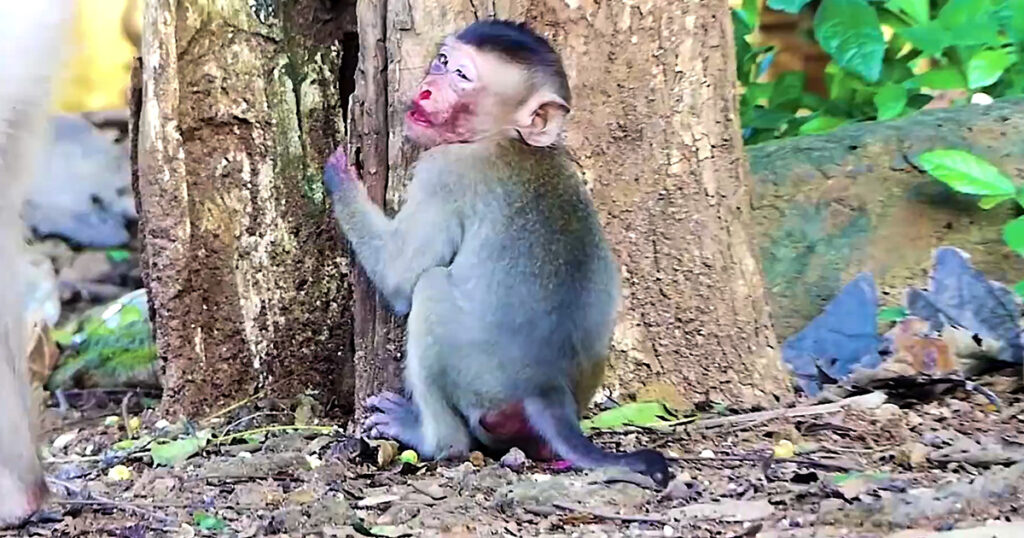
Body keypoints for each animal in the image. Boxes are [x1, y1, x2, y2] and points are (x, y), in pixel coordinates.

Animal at [323, 19, 670, 487]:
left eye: (462, 76)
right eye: (442, 61)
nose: (427, 89)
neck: (507, 137)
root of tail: (547, 386)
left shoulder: (443, 172)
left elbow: (400, 278)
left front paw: (341, 178)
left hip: (479, 378)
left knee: (430, 289)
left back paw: (431, 438)